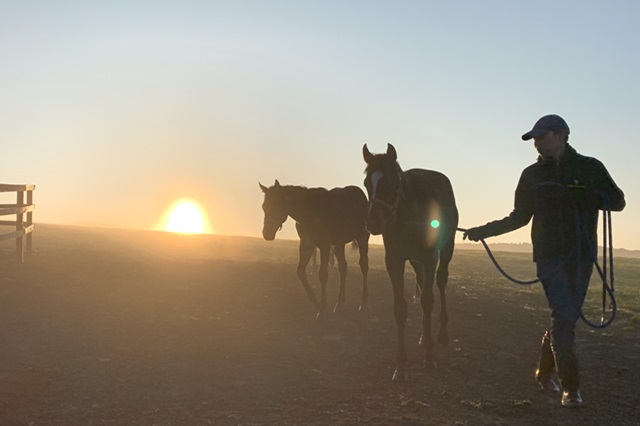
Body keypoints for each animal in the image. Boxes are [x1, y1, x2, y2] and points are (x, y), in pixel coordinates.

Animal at [260, 180, 370, 320]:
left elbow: (322, 275)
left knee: (364, 265)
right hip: (339, 244)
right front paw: (317, 303)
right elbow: (300, 271)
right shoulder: (307, 244)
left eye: (278, 205)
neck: (309, 211)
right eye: (264, 207)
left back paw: (363, 303)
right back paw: (339, 303)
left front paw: (322, 309)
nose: (267, 234)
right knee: (343, 267)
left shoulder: (324, 245)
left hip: (362, 237)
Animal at [362, 143, 458, 380]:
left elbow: (428, 300)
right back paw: (424, 334)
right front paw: (401, 363)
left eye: (391, 181)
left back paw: (441, 333)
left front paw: (429, 357)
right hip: (415, 261)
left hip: (446, 250)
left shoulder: (430, 257)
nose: (373, 222)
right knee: (422, 282)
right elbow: (400, 307)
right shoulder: (394, 261)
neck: (409, 216)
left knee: (440, 282)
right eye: (367, 183)